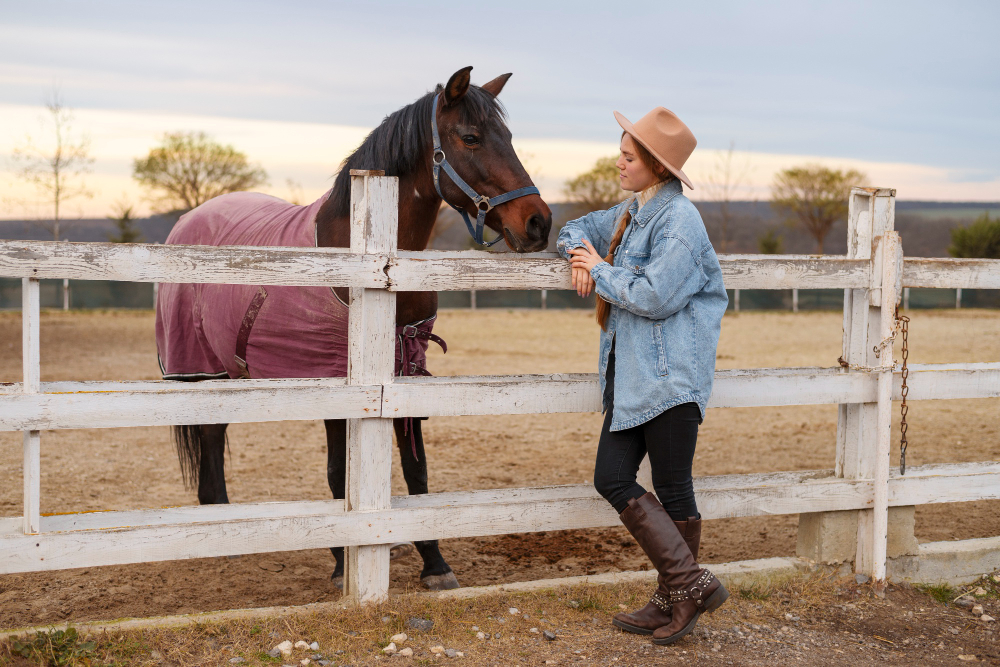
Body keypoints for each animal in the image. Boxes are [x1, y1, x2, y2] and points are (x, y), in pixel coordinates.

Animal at [154, 66, 556, 588]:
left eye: (508, 137)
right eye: (470, 137)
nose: (538, 222)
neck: (374, 257)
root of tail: (189, 219)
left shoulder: (405, 369)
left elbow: (416, 473)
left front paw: (434, 563)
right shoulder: (339, 381)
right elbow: (337, 473)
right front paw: (343, 562)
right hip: (199, 366)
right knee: (209, 435)